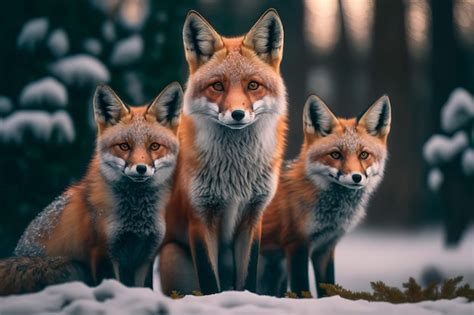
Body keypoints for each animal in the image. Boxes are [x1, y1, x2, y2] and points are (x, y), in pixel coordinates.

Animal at [0, 82, 183, 296]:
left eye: (154, 146)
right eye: (124, 146)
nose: (141, 168)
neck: (136, 219)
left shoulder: (146, 255)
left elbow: (145, 289)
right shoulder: (102, 253)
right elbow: (113, 284)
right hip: (72, 267)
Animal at [159, 9, 286, 296]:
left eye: (253, 85)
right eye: (218, 86)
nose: (237, 114)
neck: (234, 175)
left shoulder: (253, 217)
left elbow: (247, 280)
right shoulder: (200, 217)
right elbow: (210, 282)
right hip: (171, 255)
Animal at [258, 94, 390, 298]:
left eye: (364, 155)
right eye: (335, 155)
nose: (356, 177)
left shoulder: (325, 248)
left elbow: (327, 288)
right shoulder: (296, 244)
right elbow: (301, 291)